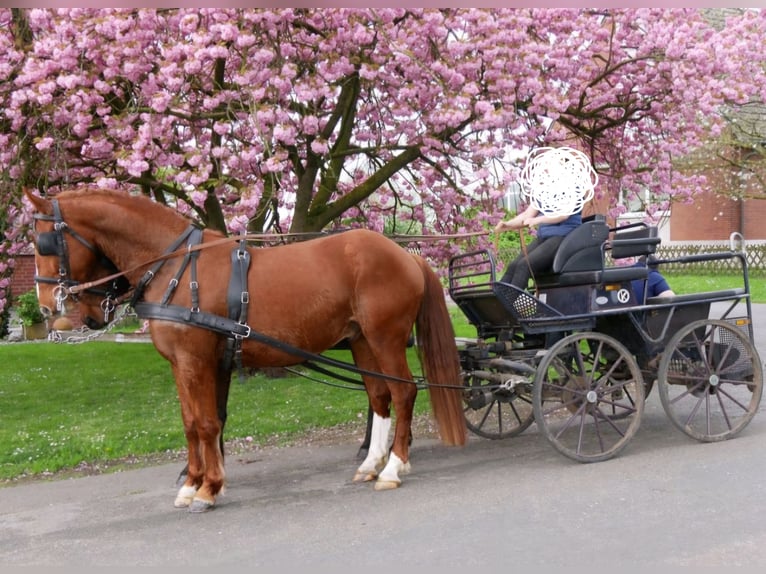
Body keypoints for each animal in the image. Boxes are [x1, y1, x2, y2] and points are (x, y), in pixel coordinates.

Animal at [26, 188, 467, 512]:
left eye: (44, 242)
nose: (47, 306)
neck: (177, 268)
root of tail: (404, 254)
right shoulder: (188, 364)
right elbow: (194, 423)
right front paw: (194, 483)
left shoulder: (196, 361)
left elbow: (207, 423)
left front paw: (207, 489)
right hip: (362, 341)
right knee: (379, 395)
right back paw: (372, 463)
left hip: (385, 338)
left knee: (403, 392)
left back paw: (394, 466)